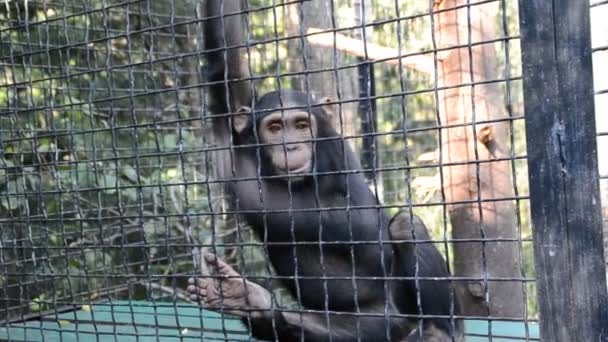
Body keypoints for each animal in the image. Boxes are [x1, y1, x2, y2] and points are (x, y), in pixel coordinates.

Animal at [185, 1, 460, 340]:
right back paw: (251, 301)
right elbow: (225, 60)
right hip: (372, 323)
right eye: (275, 128)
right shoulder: (232, 128)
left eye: (301, 125)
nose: (291, 145)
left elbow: (366, 224)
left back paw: (442, 330)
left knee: (404, 226)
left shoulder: (338, 151)